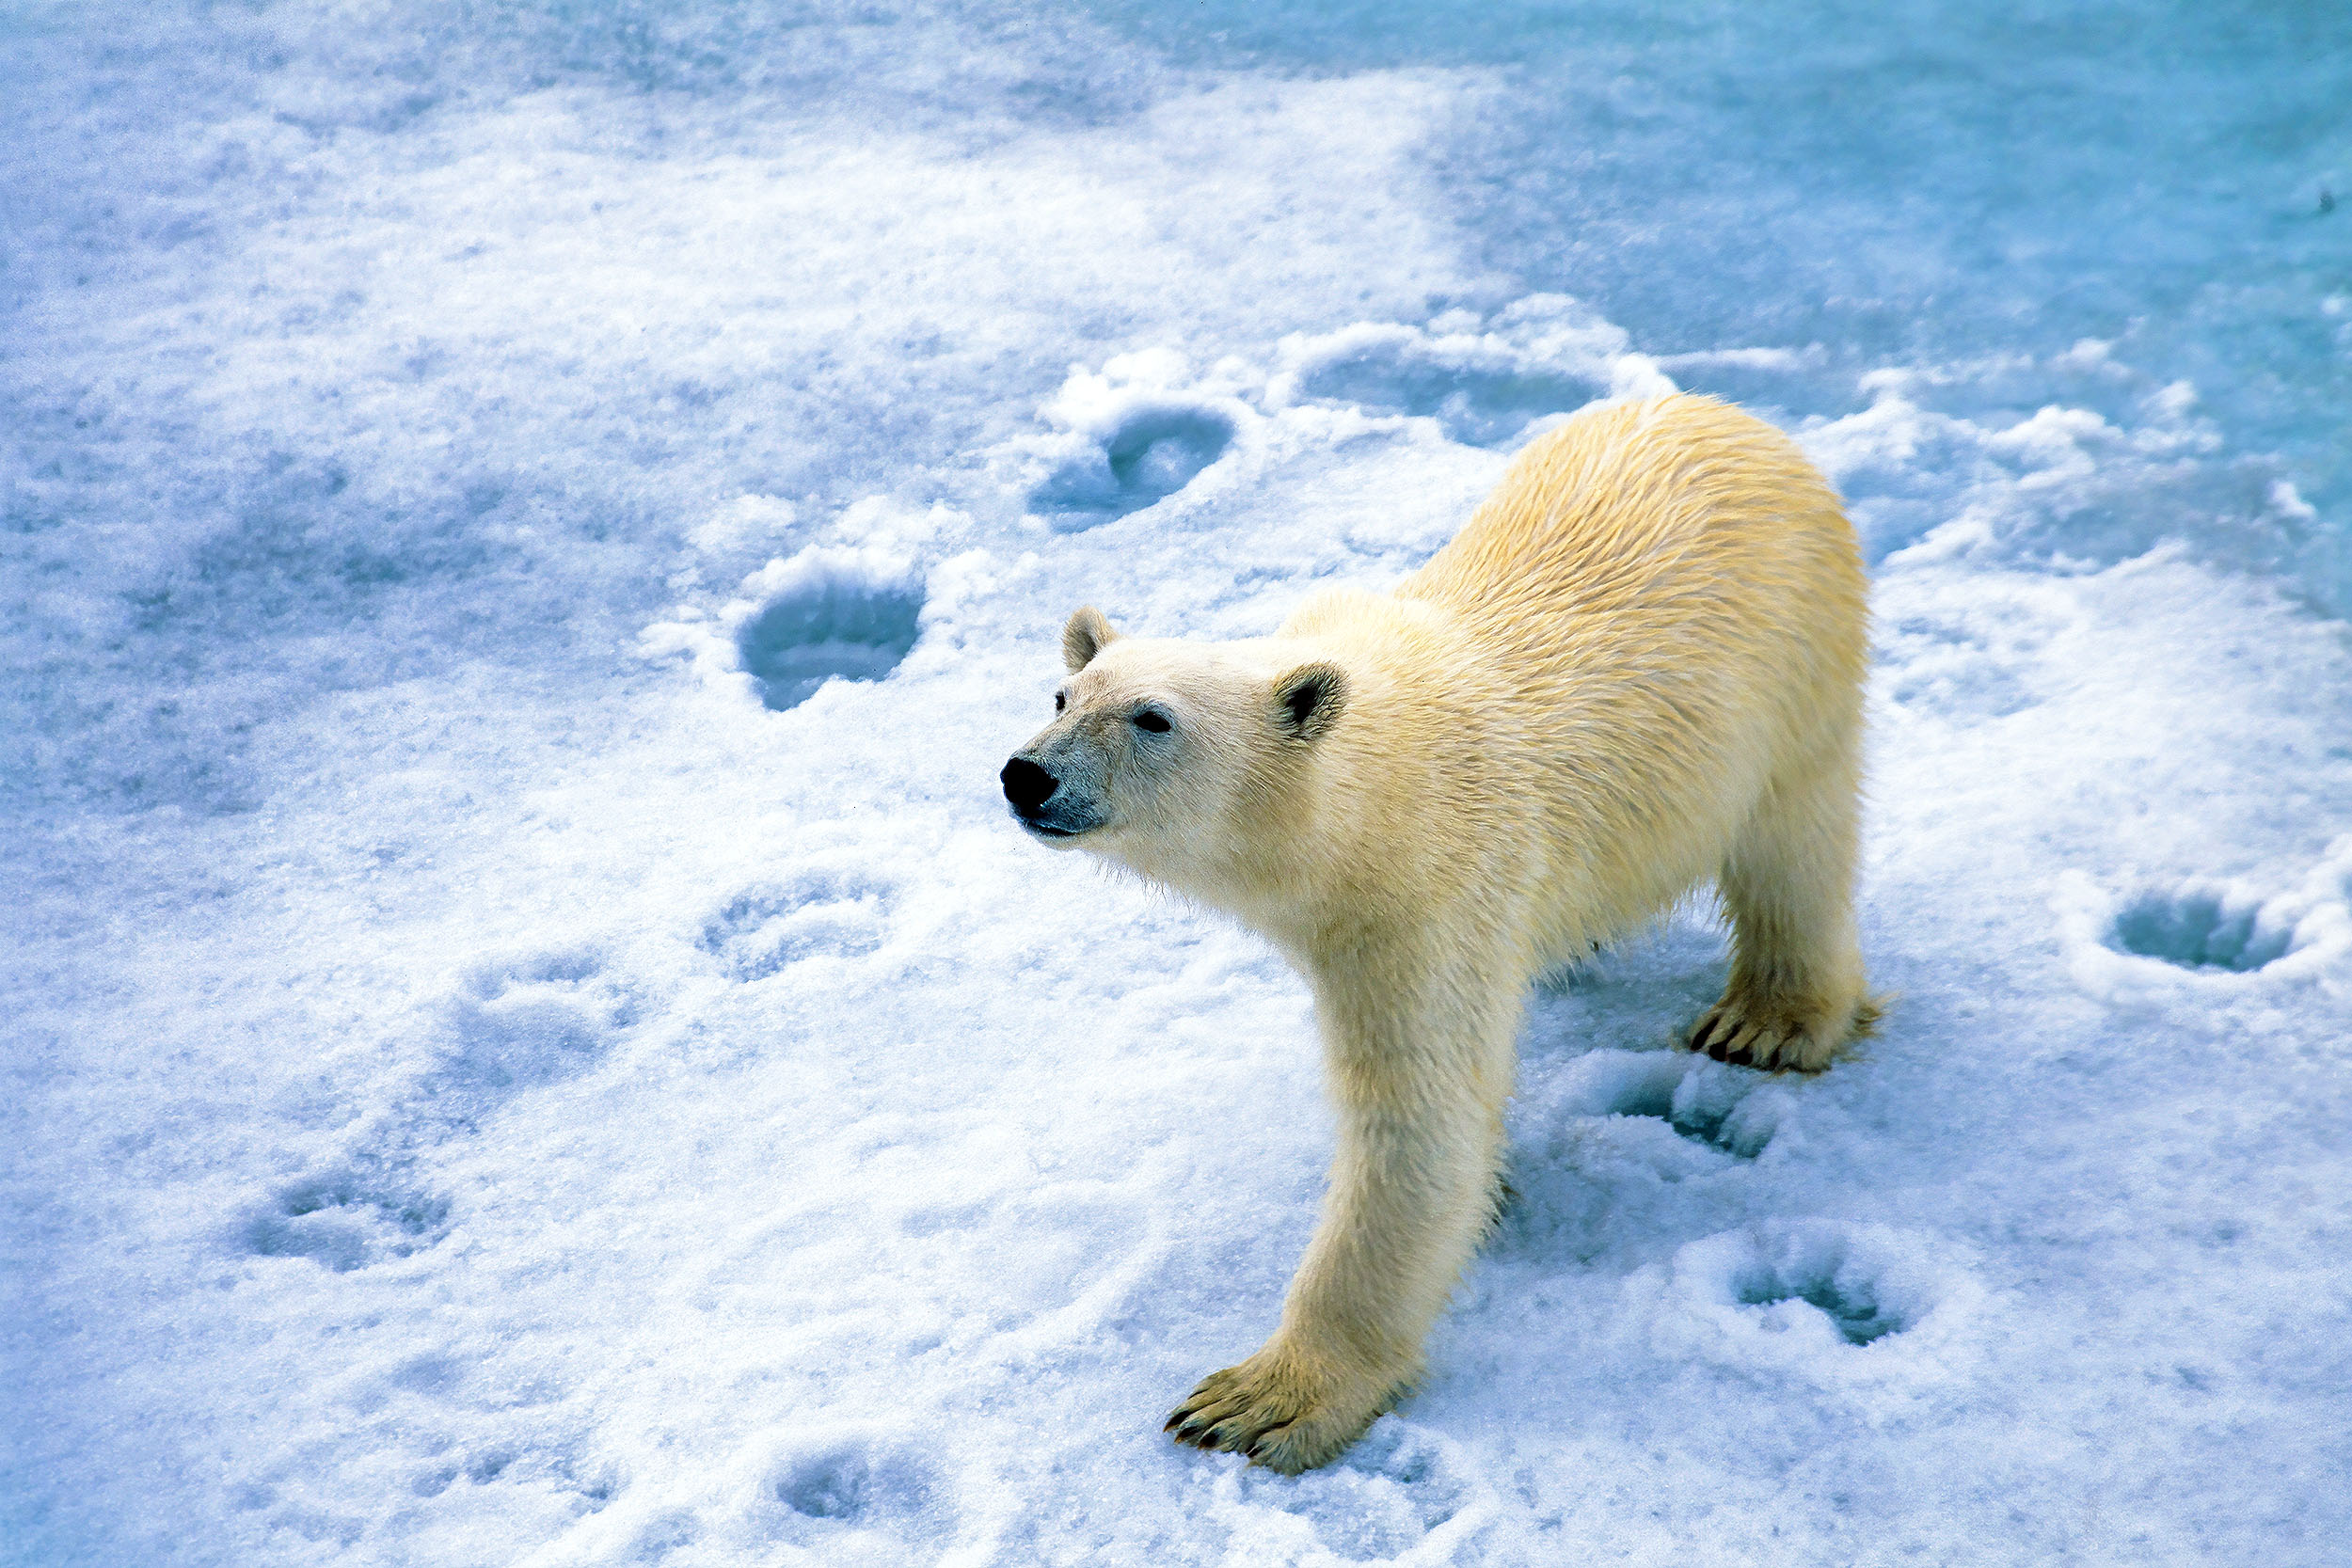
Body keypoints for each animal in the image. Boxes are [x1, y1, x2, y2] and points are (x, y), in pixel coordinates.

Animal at [1002, 389, 1882, 1476]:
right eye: (1063, 694)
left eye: (1153, 718)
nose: (1027, 774)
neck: (1368, 790)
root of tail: (1723, 412)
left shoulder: (1429, 895)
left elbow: (1417, 1125)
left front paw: (1257, 1400)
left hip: (1799, 662)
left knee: (1795, 839)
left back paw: (1768, 1018)